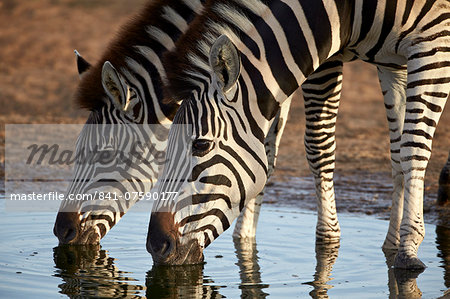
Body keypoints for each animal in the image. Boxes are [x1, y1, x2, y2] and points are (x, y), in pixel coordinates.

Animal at [149, 0, 450, 272]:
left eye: (201, 145)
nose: (155, 245)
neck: (345, 8)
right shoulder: (381, 61)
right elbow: (387, 149)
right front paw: (390, 243)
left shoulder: (432, 43)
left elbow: (413, 148)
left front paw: (407, 249)